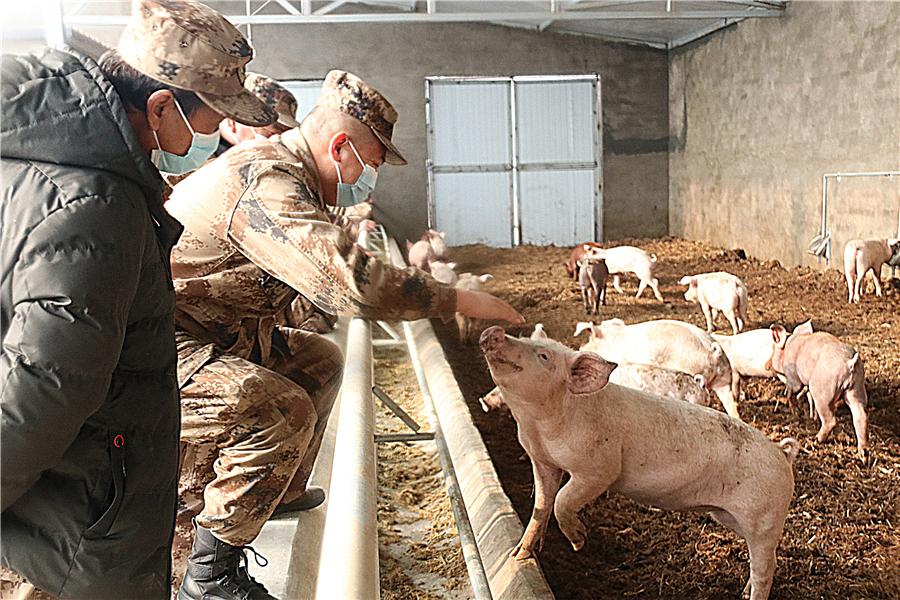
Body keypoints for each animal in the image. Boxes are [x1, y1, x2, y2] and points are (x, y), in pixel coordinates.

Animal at [482, 326, 800, 600]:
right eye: (522, 339)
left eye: (544, 357)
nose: (494, 332)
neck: (539, 425)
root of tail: (782, 454)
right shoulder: (542, 461)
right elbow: (541, 505)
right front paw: (518, 555)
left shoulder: (599, 469)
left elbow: (562, 501)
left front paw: (579, 541)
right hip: (729, 516)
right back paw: (744, 591)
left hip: (764, 519)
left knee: (765, 569)